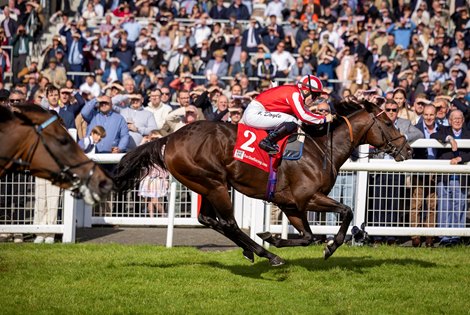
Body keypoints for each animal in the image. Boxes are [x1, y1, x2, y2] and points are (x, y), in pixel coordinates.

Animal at [114, 97, 412, 266]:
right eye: (388, 122)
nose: (407, 150)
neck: (320, 149)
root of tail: (170, 137)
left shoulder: (292, 206)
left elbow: (307, 237)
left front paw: (274, 237)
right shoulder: (308, 198)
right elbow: (347, 211)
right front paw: (329, 247)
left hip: (206, 185)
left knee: (208, 219)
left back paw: (254, 250)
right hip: (215, 184)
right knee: (229, 224)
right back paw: (266, 255)